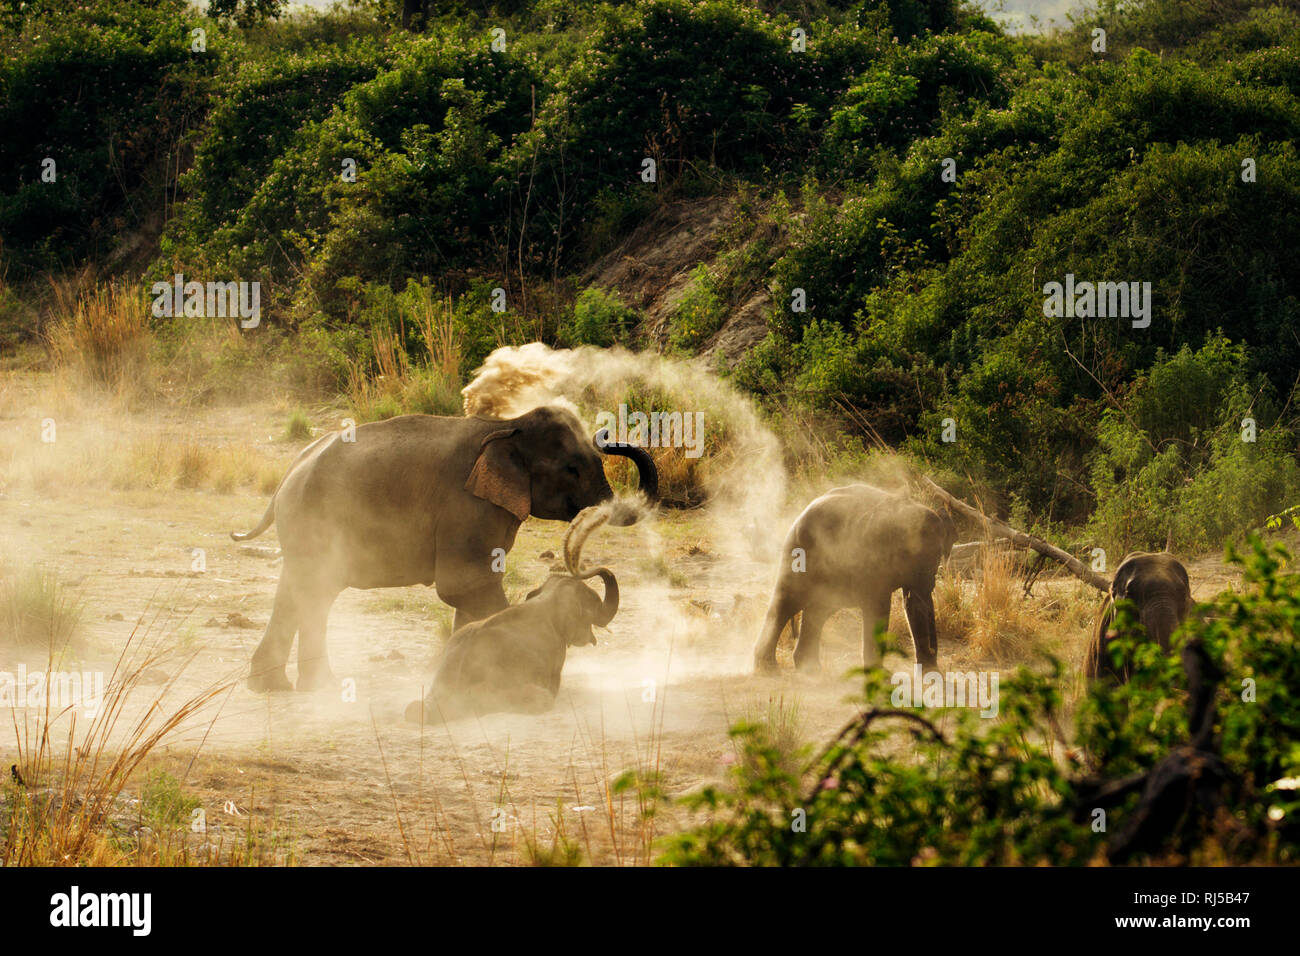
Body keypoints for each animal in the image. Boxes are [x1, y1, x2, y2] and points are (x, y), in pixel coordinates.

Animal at [227, 403, 655, 686]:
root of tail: (290, 470)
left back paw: (279, 688)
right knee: (313, 593)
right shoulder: (466, 505)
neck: (508, 426)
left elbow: (471, 590)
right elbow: (466, 585)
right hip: (315, 520)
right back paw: (320, 689)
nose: (606, 436)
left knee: (301, 592)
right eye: (572, 469)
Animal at [754, 486, 956, 671]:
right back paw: (769, 669)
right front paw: (878, 674)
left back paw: (811, 670)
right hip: (801, 551)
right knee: (789, 600)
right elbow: (878, 605)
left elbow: (912, 603)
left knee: (820, 607)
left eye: (938, 555)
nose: (932, 662)